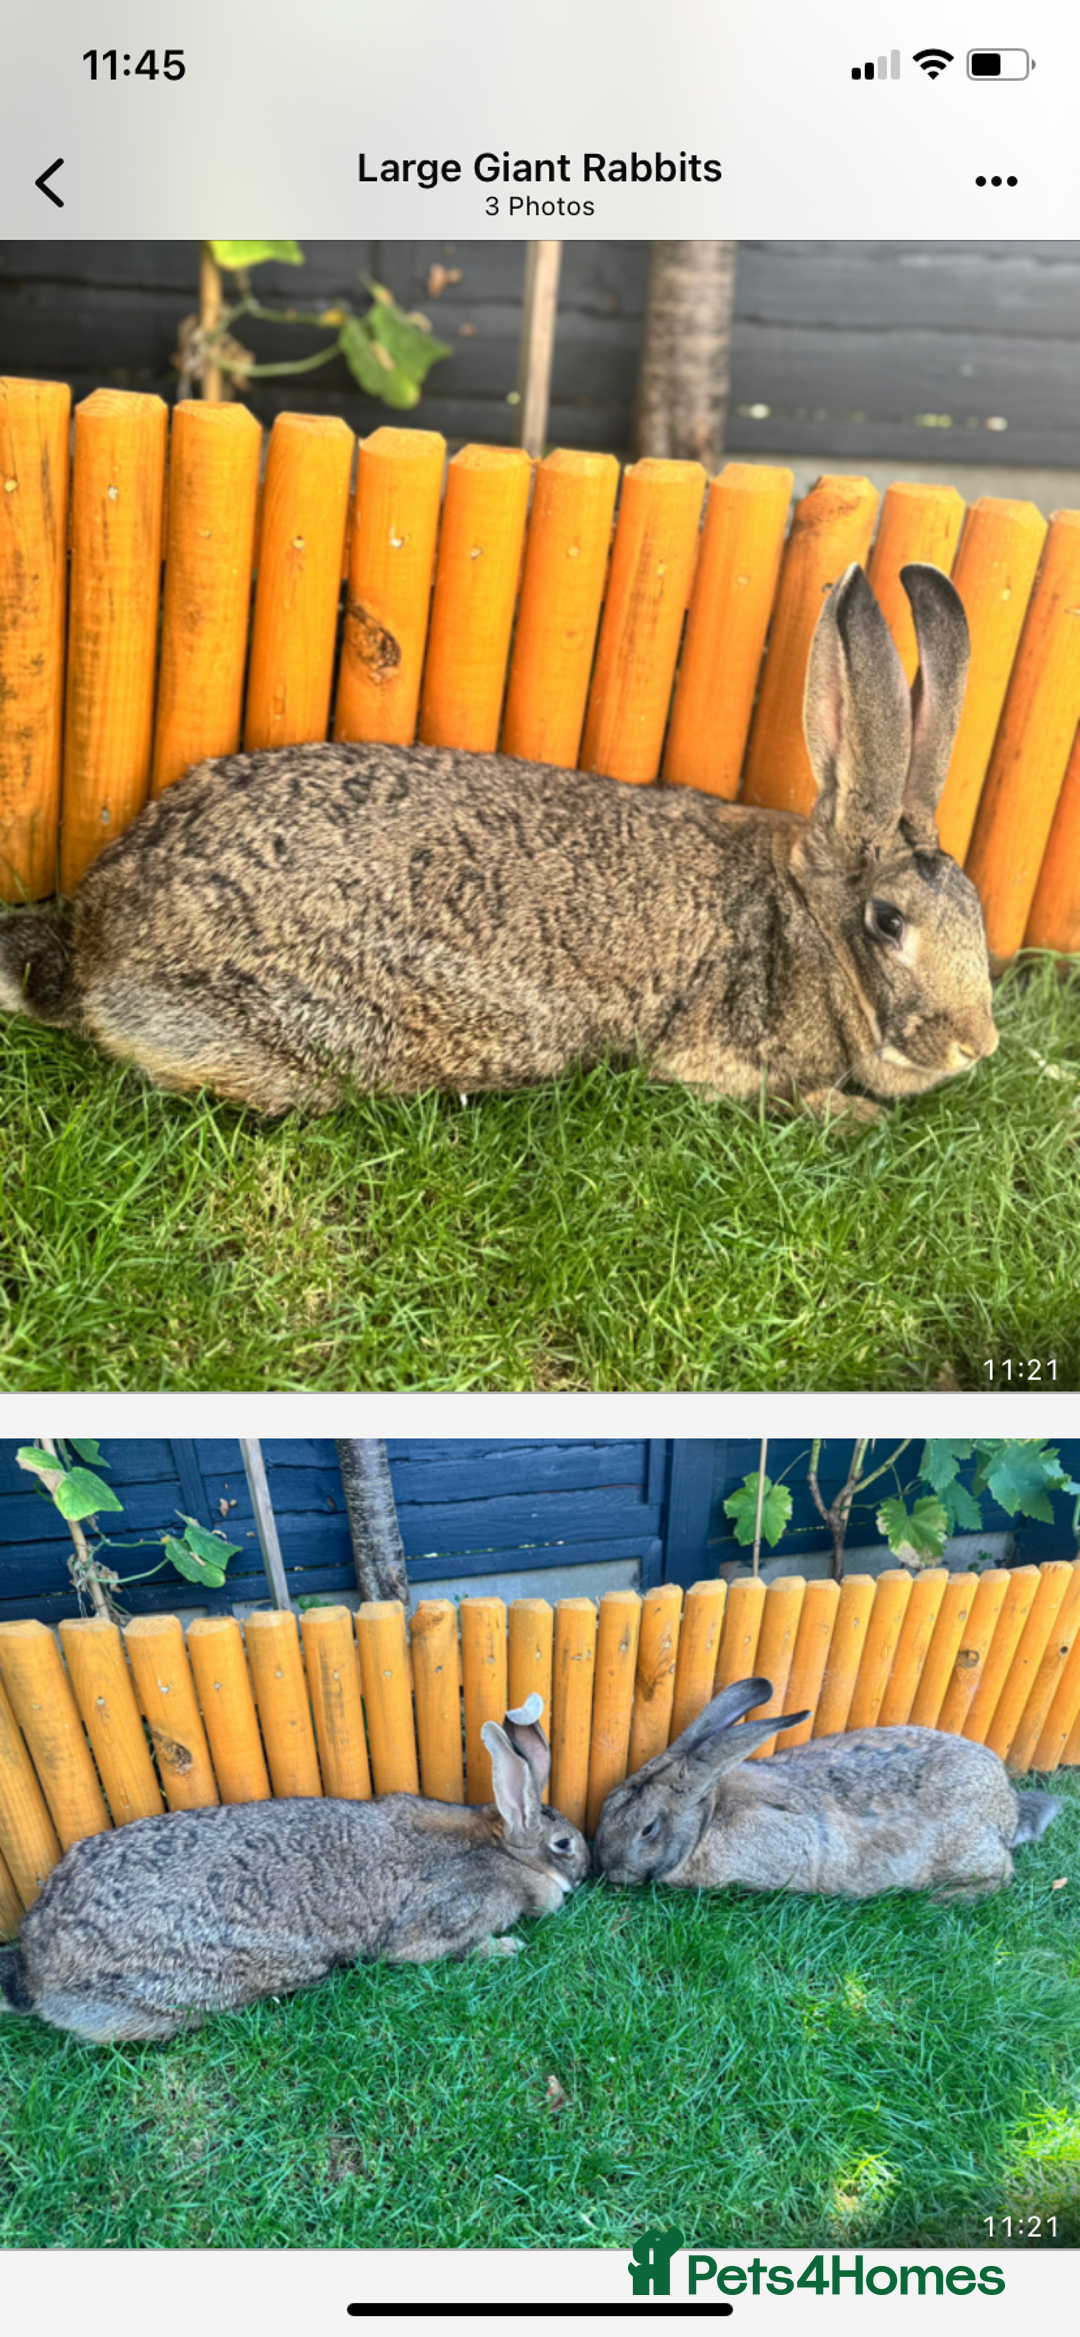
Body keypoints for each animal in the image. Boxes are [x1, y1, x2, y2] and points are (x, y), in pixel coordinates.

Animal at [0, 560, 996, 1118]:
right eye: (888, 923)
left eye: (977, 912)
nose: (980, 1046)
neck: (807, 924)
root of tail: (96, 937)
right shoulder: (712, 1049)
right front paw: (854, 1116)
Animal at [0, 1695, 588, 2044]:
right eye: (563, 1843)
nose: (586, 1872)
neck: (502, 1849)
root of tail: (36, 1966)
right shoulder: (445, 1913)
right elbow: (430, 1950)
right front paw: (505, 1949)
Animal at [592, 1676, 1062, 1902]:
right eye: (608, 1804)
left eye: (648, 1829)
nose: (607, 1869)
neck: (705, 1822)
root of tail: (1006, 1809)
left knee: (1003, 1874)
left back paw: (946, 1900)